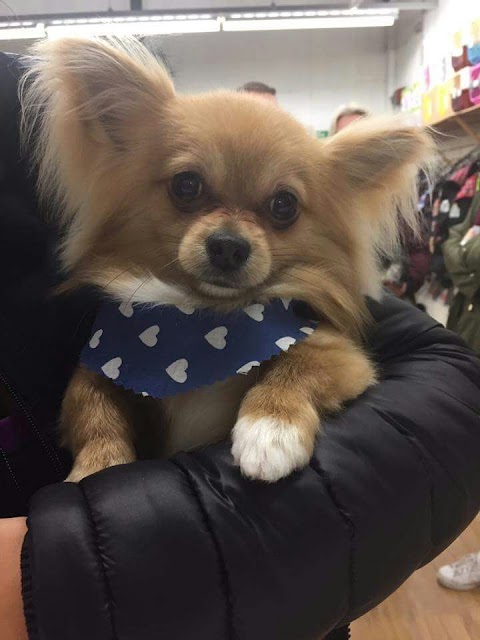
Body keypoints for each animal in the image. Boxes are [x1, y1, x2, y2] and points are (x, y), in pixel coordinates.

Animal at [21, 37, 436, 482]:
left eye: (284, 205)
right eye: (186, 185)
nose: (228, 245)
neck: (199, 319)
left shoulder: (343, 355)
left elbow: (301, 359)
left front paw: (270, 430)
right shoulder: (100, 366)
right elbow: (91, 405)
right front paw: (97, 466)